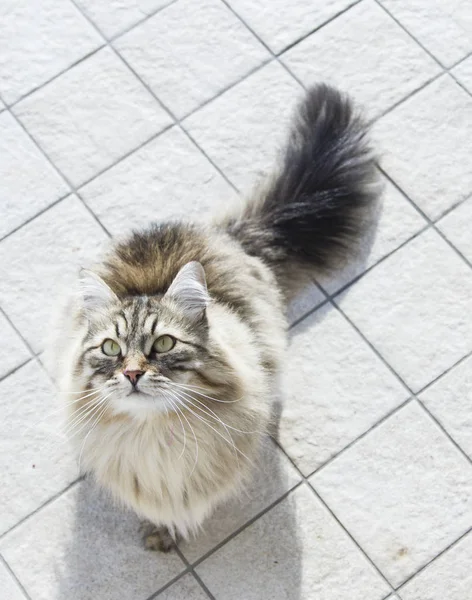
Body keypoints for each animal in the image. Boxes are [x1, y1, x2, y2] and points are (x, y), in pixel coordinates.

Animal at [53, 85, 378, 552]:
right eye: (111, 349)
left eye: (164, 344)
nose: (132, 373)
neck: (156, 437)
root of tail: (223, 233)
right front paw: (162, 531)